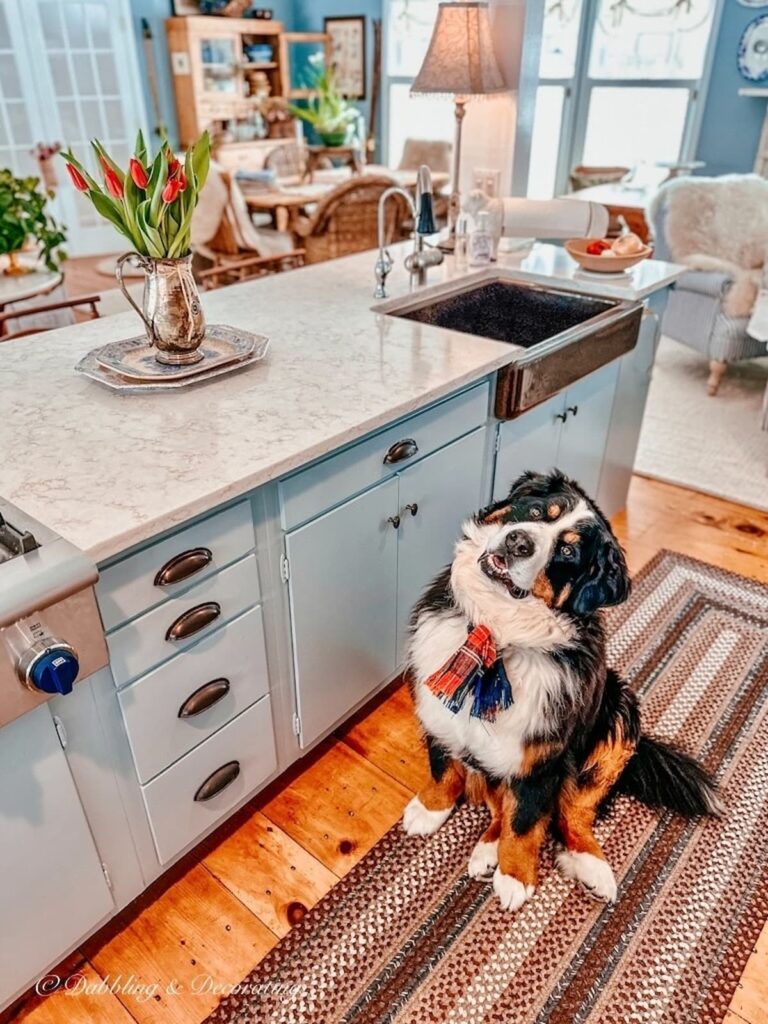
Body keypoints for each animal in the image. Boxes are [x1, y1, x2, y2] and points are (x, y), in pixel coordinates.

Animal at [405, 471, 724, 913]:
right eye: (539, 511)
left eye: (568, 552)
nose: (518, 542)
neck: (499, 631)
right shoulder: (441, 713)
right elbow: (444, 768)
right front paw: (429, 810)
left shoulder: (543, 755)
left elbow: (525, 820)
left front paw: (515, 876)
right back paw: (487, 850)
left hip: (619, 713)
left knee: (574, 812)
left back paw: (591, 868)